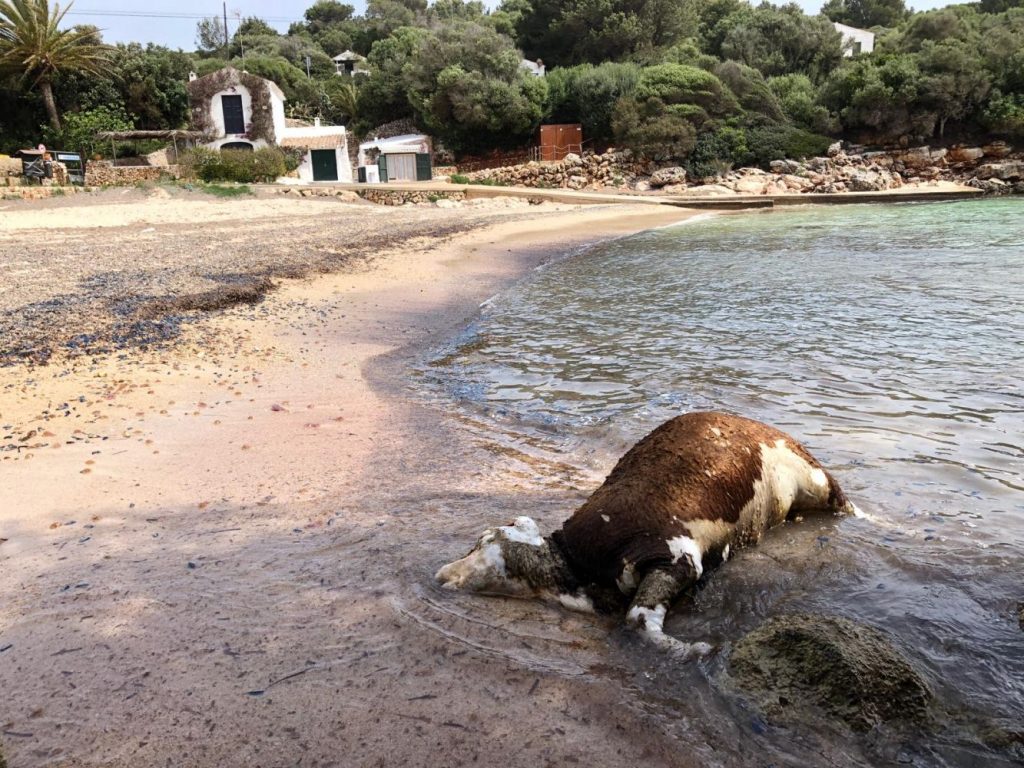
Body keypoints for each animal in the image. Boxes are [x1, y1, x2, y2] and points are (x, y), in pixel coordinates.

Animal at [436, 411, 851, 659]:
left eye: (481, 546)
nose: (441, 574)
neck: (576, 562)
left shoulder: (674, 553)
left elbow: (637, 616)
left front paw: (696, 650)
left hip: (815, 480)